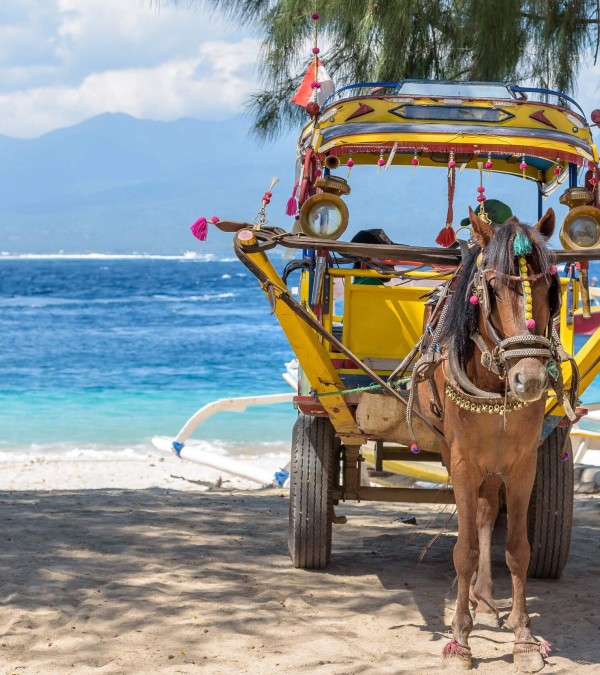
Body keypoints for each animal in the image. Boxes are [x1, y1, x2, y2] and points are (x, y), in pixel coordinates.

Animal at [417, 207, 564, 672]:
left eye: (550, 286)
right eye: (493, 289)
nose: (529, 379)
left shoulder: (523, 465)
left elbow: (518, 550)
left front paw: (524, 639)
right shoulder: (463, 462)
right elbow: (462, 551)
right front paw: (460, 641)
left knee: (485, 513)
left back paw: (484, 600)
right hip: (452, 452)